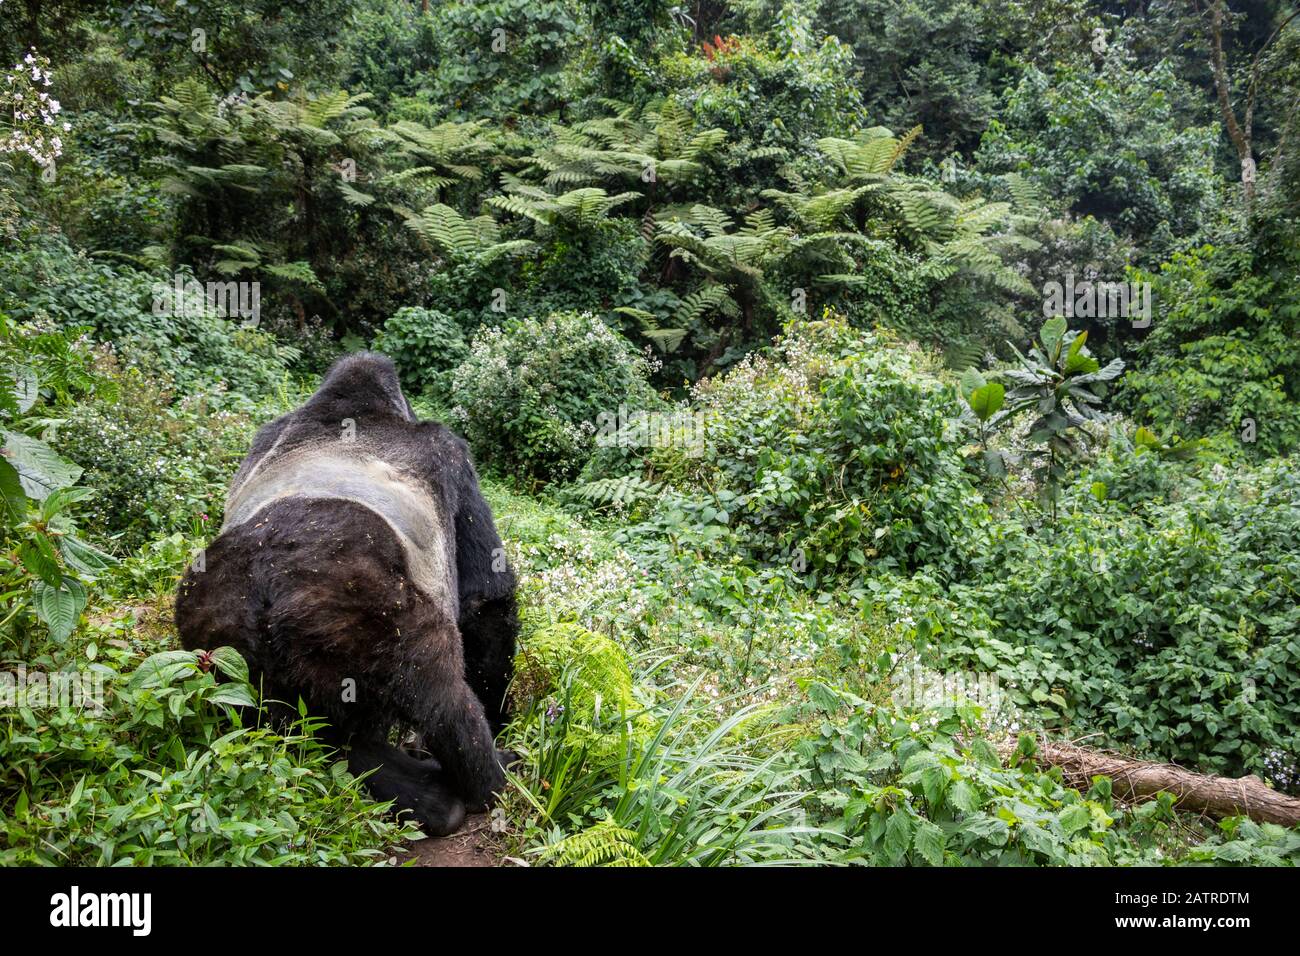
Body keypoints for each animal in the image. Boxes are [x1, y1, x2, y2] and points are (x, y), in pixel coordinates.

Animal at [174, 353, 517, 837]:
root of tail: (265, 587)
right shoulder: (449, 451)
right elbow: (485, 599)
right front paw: (498, 718)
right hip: (359, 611)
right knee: (439, 692)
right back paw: (484, 780)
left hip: (218, 639)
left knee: (314, 731)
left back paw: (421, 795)